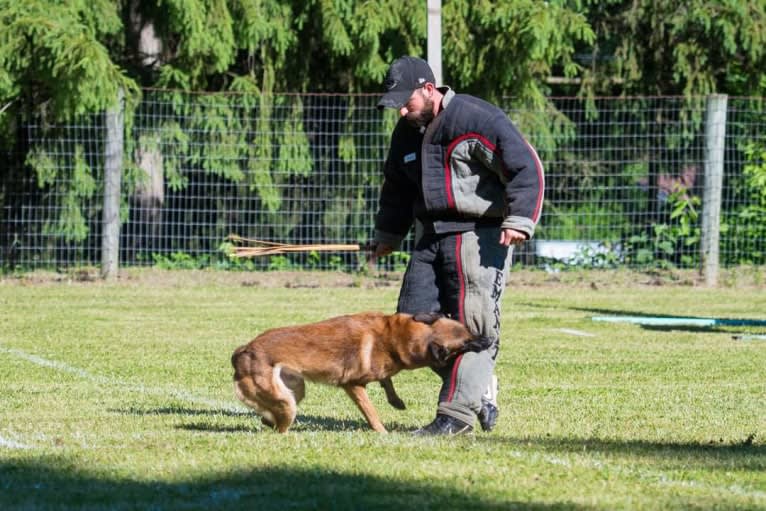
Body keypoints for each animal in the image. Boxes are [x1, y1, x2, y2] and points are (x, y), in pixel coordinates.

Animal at [231, 312, 492, 432]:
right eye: (467, 343)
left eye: (469, 331)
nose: (490, 340)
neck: (395, 338)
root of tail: (244, 350)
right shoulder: (353, 385)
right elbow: (371, 413)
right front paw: (383, 433)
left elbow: (387, 380)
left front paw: (396, 401)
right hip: (287, 401)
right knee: (279, 425)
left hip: (296, 388)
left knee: (269, 414)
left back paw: (266, 420)